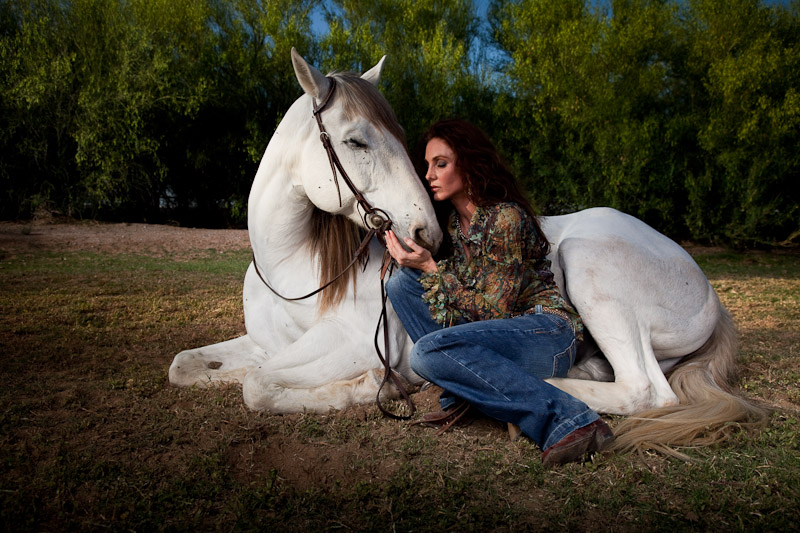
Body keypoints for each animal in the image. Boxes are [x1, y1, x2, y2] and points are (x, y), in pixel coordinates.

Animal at [170, 50, 768, 454]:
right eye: (357, 140)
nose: (426, 232)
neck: (293, 271)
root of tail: (710, 294)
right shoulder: (263, 343)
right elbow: (188, 367)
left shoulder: (352, 344)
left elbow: (258, 387)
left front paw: (361, 390)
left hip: (589, 264)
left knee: (647, 392)